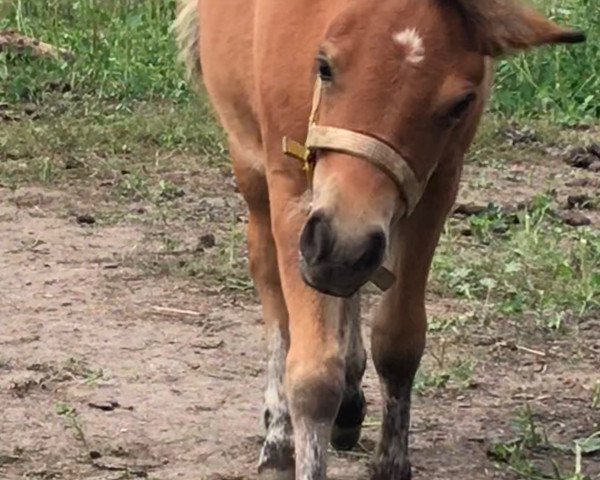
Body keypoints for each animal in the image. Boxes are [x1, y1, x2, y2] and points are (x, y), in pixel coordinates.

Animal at [176, 1, 584, 478]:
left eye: (460, 103)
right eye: (325, 66)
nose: (342, 246)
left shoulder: (436, 185)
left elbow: (398, 340)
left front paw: (390, 461)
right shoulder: (292, 186)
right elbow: (313, 376)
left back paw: (349, 406)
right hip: (254, 169)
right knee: (270, 281)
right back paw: (278, 435)